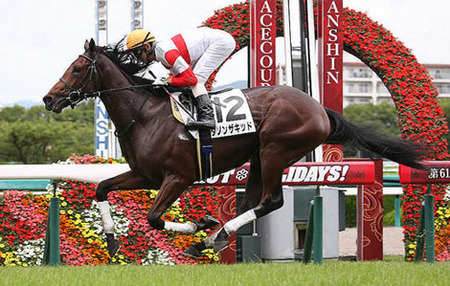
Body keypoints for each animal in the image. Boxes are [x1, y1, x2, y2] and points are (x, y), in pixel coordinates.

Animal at [43, 38, 426, 260]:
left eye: (77, 68)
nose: (48, 99)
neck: (145, 114)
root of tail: (320, 109)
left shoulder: (177, 177)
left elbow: (153, 217)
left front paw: (200, 224)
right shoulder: (144, 174)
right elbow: (101, 188)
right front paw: (111, 242)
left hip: (275, 151)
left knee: (271, 201)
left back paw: (213, 236)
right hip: (258, 158)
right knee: (255, 201)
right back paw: (215, 237)